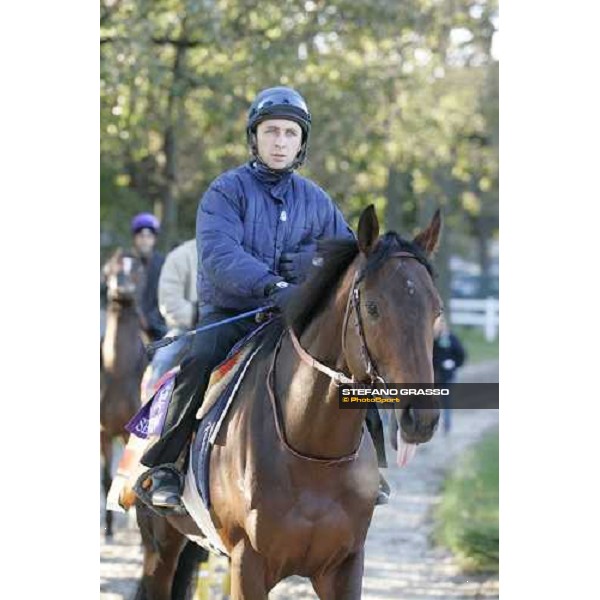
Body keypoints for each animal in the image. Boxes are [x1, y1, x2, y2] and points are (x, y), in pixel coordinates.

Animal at [137, 205, 446, 596]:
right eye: (373, 308)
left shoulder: (344, 566)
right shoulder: (248, 564)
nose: (420, 418)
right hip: (159, 541)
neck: (313, 451)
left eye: (436, 310)